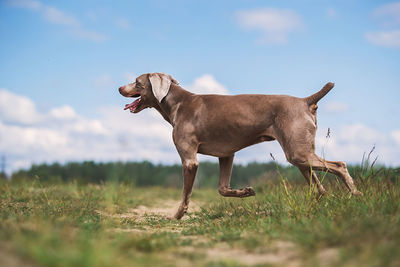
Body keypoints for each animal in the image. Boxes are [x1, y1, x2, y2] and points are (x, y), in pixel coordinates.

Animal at [119, 73, 362, 220]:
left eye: (137, 82)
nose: (119, 87)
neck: (177, 103)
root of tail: (305, 101)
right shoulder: (227, 155)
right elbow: (222, 188)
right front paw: (246, 191)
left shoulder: (189, 160)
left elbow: (185, 194)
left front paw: (176, 216)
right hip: (300, 153)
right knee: (319, 187)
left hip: (299, 153)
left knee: (340, 165)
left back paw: (356, 195)